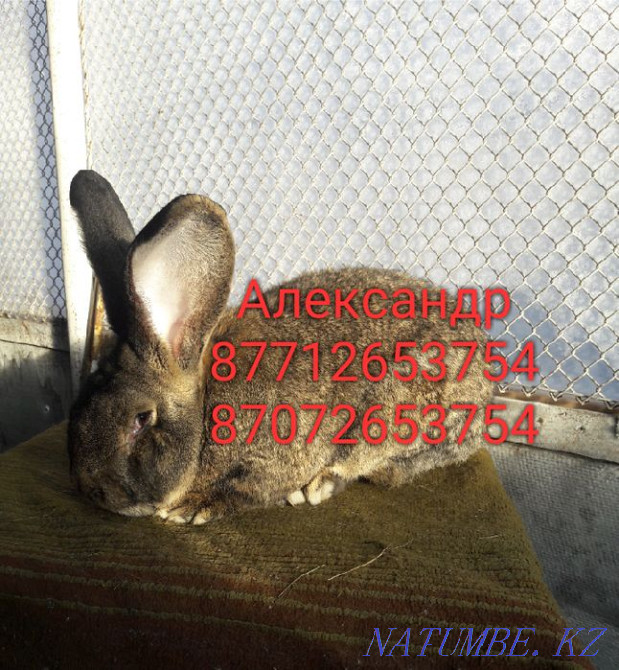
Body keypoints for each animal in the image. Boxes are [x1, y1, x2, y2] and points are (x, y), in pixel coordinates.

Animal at [68, 170, 494, 524]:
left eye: (141, 419)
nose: (93, 491)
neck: (206, 407)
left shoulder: (272, 461)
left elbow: (248, 490)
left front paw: (192, 508)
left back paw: (324, 483)